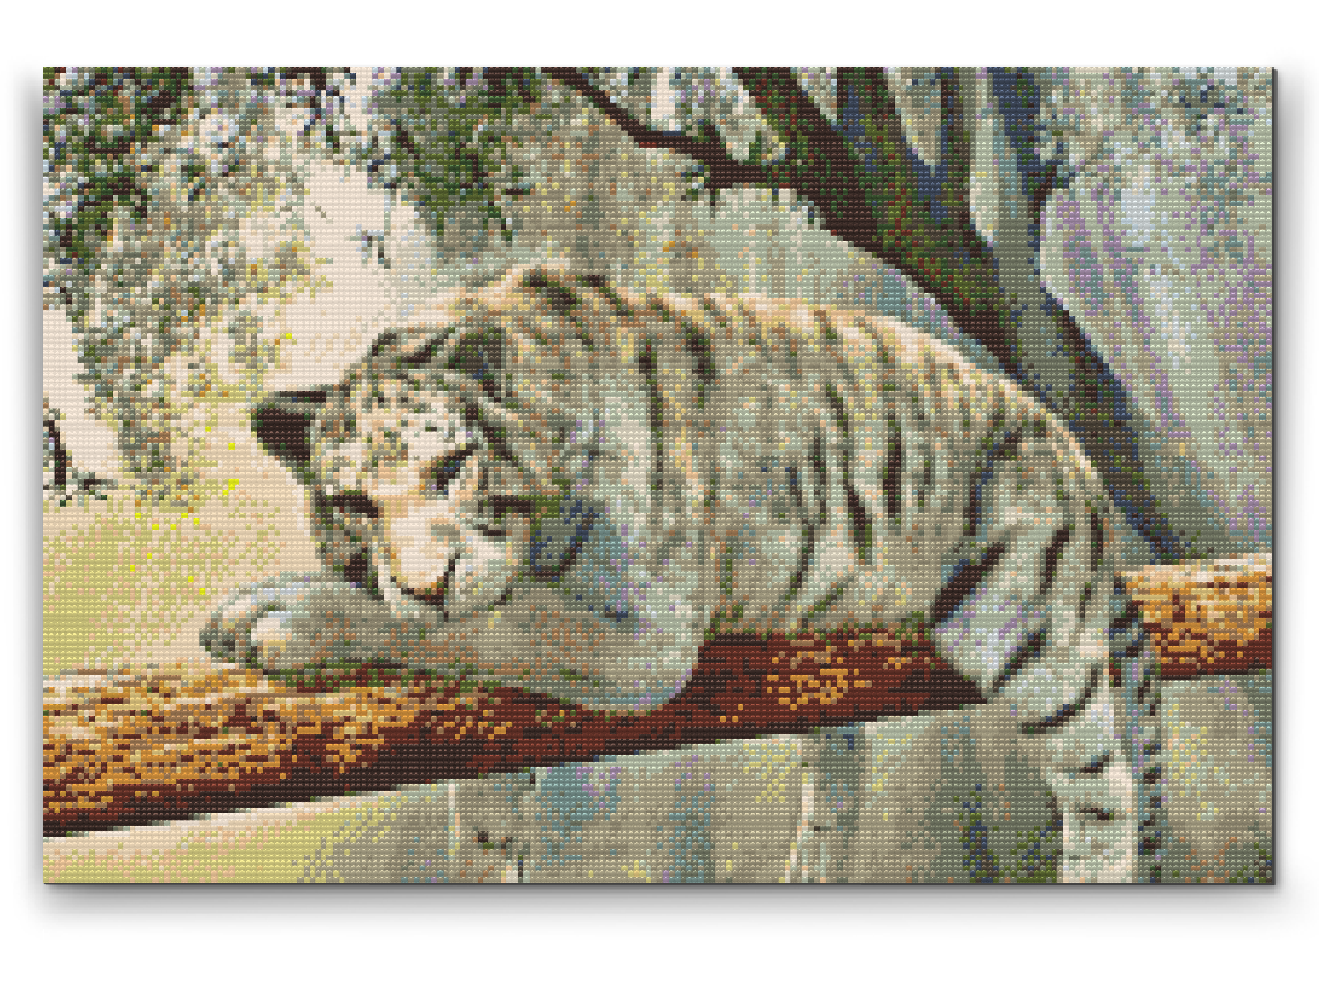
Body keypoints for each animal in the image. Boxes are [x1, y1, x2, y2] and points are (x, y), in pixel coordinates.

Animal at [202, 263, 1164, 882]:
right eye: (354, 503)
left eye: (451, 469)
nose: (425, 581)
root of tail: (1076, 460)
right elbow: (483, 804)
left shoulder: (640, 637)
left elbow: (493, 627)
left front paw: (277, 616)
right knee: (839, 757)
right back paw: (811, 869)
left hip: (1024, 632)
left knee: (1105, 790)